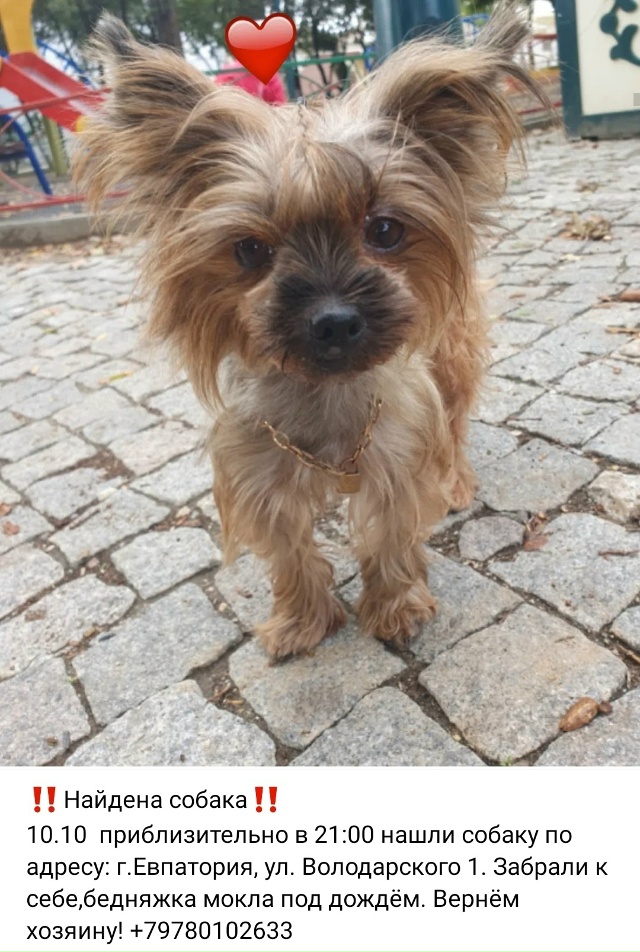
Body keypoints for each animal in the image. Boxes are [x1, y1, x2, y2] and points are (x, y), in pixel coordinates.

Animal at [74, 2, 539, 658]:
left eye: (385, 230)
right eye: (249, 250)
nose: (334, 319)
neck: (325, 396)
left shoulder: (398, 456)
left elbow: (391, 534)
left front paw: (395, 606)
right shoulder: (259, 475)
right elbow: (290, 551)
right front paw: (301, 619)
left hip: (452, 355)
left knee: (453, 421)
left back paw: (456, 481)